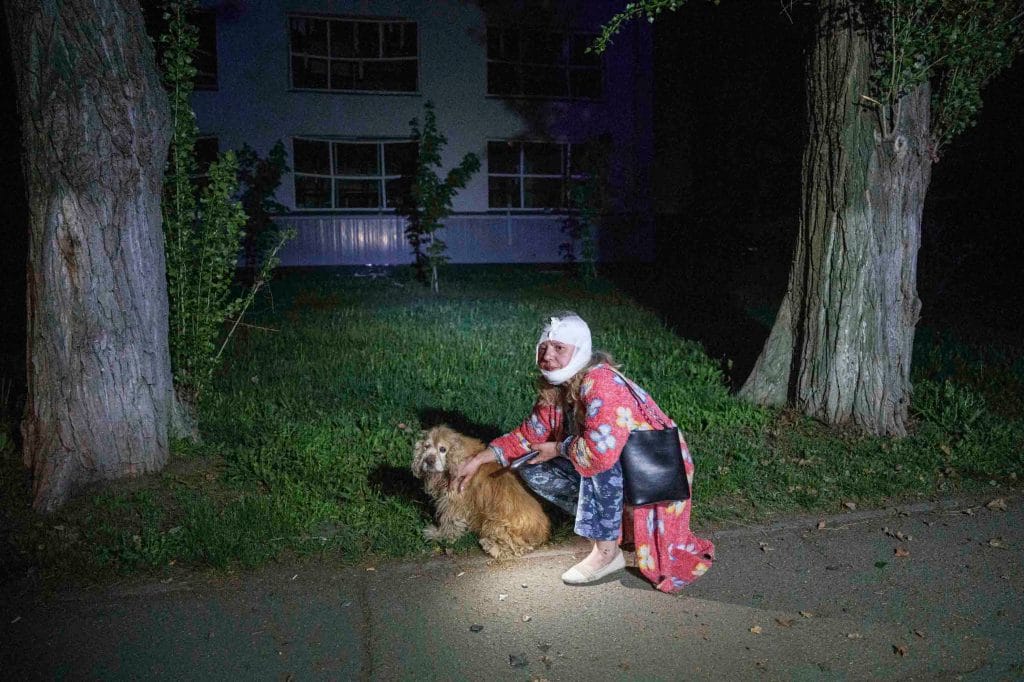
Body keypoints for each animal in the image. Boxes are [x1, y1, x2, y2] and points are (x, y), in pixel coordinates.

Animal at [411, 425, 550, 560]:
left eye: (442, 449)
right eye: (426, 446)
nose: (428, 460)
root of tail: (542, 532)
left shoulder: (453, 501)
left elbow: (449, 521)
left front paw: (439, 535)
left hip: (494, 522)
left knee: (517, 548)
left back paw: (489, 545)